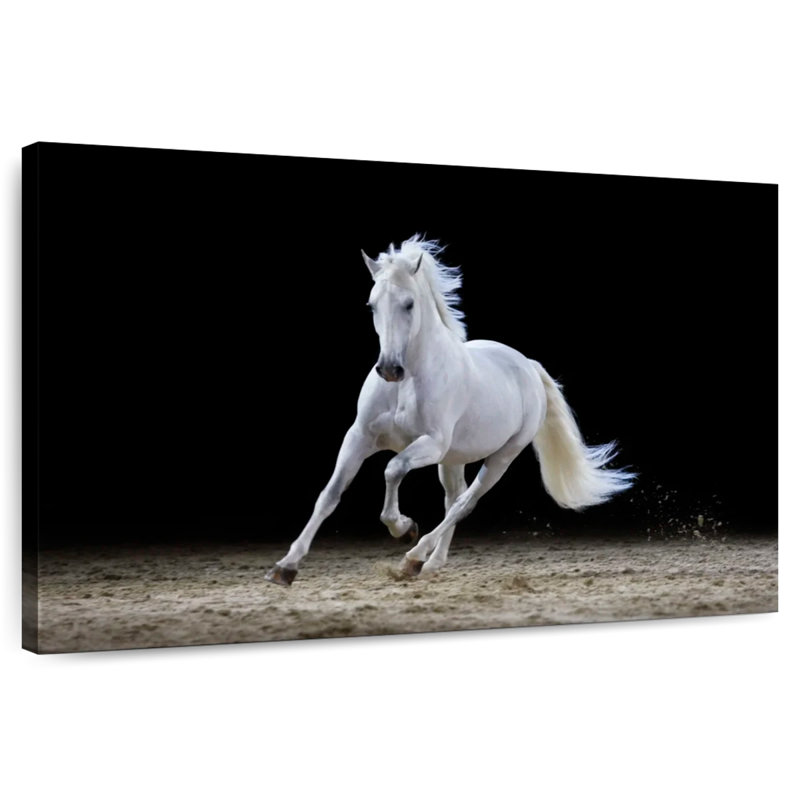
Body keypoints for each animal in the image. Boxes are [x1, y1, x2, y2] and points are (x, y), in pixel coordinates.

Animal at [266, 235, 634, 586]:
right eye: (371, 305)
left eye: (409, 303)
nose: (389, 369)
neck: (408, 382)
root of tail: (527, 365)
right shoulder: (359, 437)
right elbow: (329, 495)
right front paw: (285, 567)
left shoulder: (431, 443)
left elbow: (393, 469)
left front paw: (403, 527)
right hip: (453, 459)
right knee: (453, 499)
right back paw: (430, 563)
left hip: (501, 457)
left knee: (464, 503)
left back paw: (414, 557)